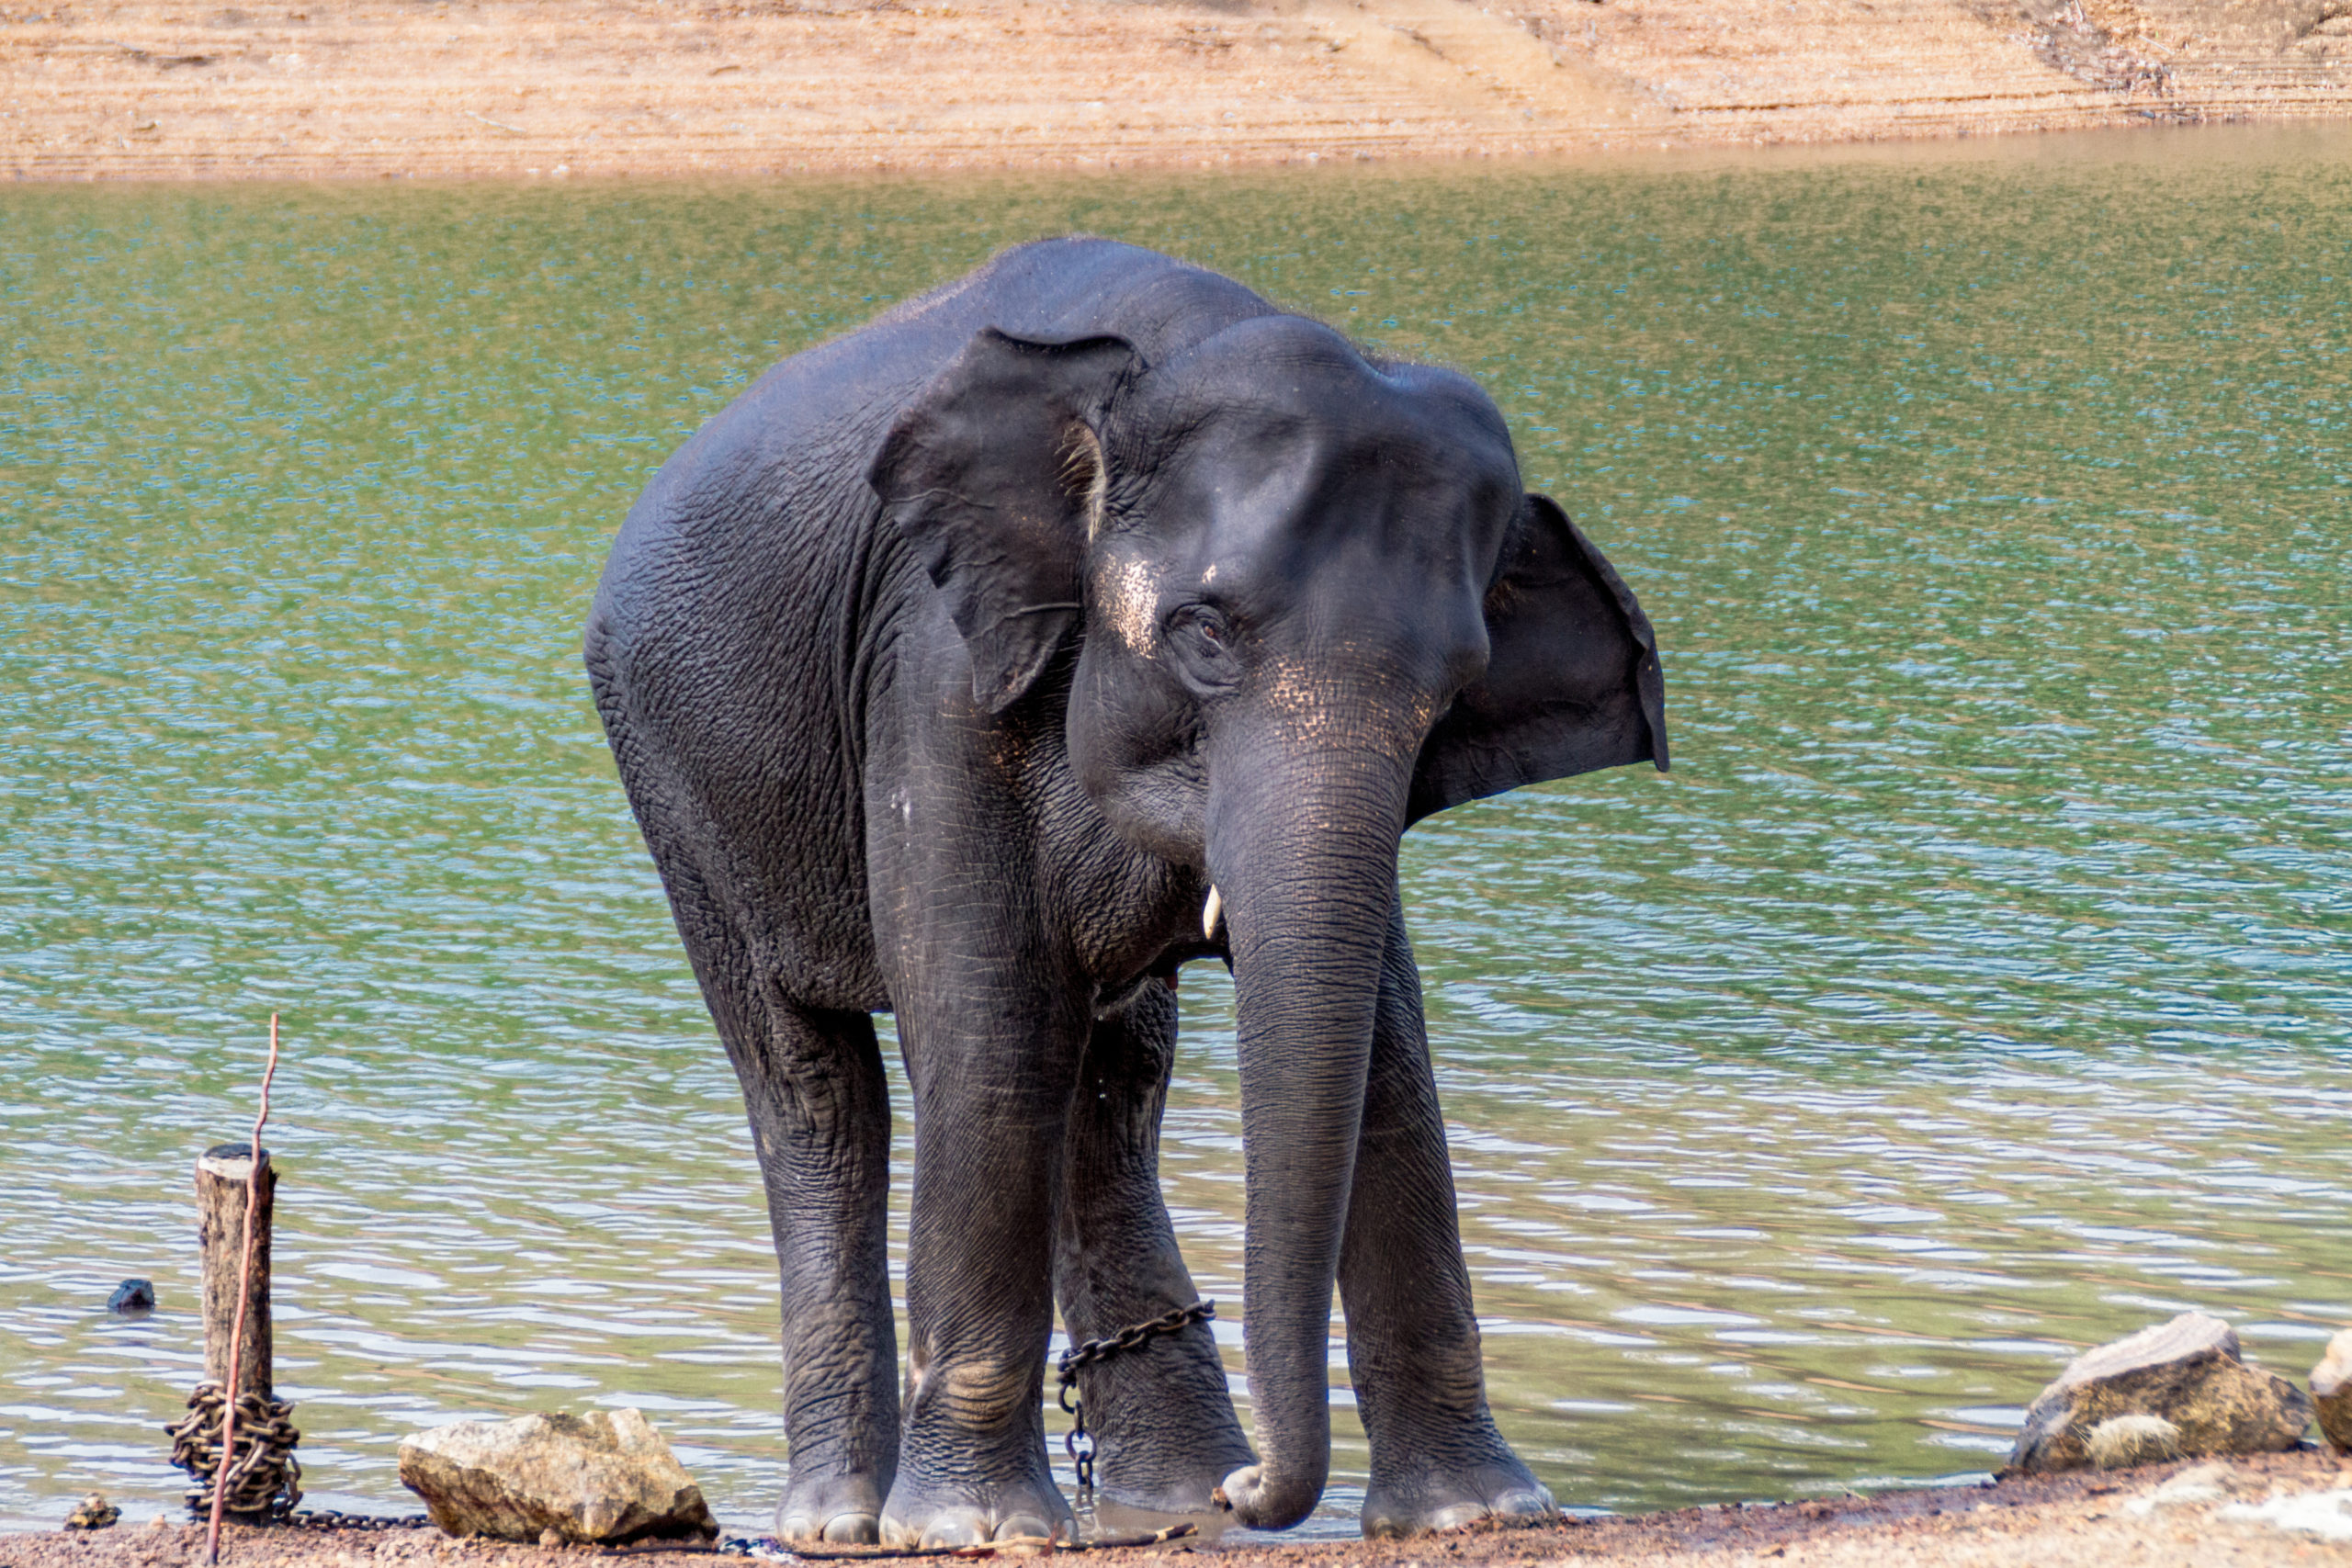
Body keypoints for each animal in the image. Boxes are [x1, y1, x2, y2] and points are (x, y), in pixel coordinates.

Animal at [578, 240, 1665, 1551]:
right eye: (1201, 634)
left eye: (1455, 688)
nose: (1254, 1496)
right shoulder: (933, 671)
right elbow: (989, 1030)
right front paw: (976, 1531)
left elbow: (1387, 1051)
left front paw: (1474, 1514)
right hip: (674, 781)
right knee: (816, 1088)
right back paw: (841, 1521)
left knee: (1112, 1082)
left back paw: (1166, 1498)